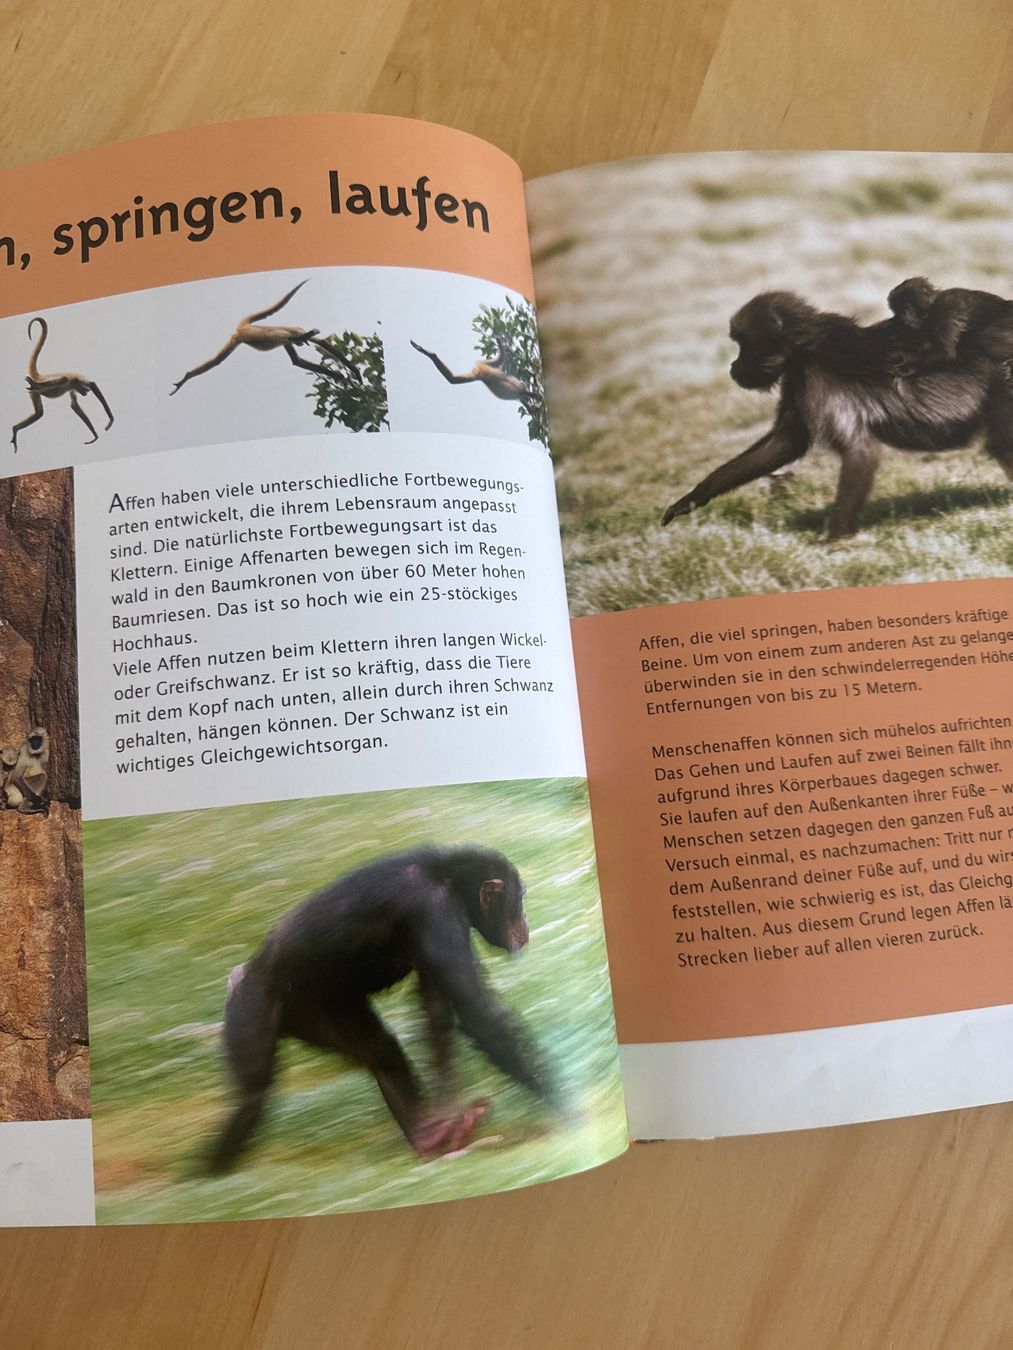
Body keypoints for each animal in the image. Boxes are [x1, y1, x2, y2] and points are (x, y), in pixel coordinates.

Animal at [11, 318, 114, 451]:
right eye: (86, 390)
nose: (86, 393)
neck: (74, 384)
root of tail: (40, 376)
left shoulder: (73, 388)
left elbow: (74, 405)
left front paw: (95, 435)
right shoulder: (75, 378)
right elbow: (92, 383)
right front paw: (110, 419)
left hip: (33, 393)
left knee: (39, 413)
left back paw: (15, 429)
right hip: (43, 384)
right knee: (63, 379)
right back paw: (36, 385)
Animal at [169, 281, 361, 395]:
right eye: (300, 341)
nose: (300, 341)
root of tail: (243, 326)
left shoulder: (294, 334)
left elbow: (301, 358)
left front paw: (349, 374)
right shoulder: (293, 332)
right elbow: (297, 344)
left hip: (239, 337)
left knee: (216, 360)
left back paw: (187, 376)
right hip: (246, 334)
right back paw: (187, 377)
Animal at [410, 338, 543, 414]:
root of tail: (479, 368)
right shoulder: (520, 391)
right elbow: (526, 395)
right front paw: (534, 399)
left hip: (482, 369)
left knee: (453, 379)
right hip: (484, 370)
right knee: (453, 379)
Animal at [661, 290, 1013, 540]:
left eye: (744, 345)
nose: (734, 368)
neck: (802, 347)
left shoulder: (817, 379)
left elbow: (860, 451)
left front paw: (832, 540)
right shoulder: (797, 380)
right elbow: (787, 442)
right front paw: (692, 499)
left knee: (1000, 441)